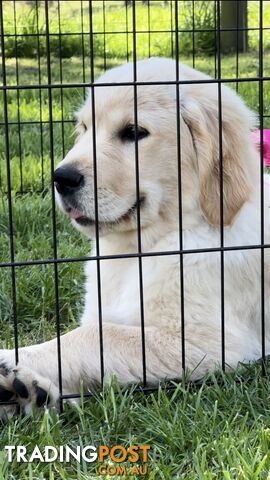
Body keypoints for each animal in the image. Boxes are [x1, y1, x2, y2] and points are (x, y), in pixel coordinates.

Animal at [0, 59, 270, 412]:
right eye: (84, 128)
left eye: (133, 133)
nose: (61, 178)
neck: (143, 248)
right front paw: (27, 389)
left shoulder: (210, 341)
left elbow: (97, 335)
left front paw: (17, 365)